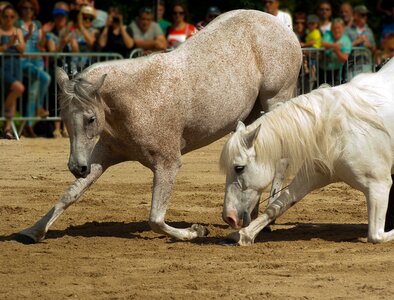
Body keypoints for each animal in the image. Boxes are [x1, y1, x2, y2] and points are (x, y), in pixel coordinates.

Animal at [13, 9, 300, 244]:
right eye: (63, 117)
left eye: (91, 119)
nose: (76, 167)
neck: (136, 100)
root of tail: (284, 28)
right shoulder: (102, 156)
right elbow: (69, 195)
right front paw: (32, 231)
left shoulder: (168, 163)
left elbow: (155, 218)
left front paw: (195, 231)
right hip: (251, 117)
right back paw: (250, 214)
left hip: (275, 100)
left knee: (281, 159)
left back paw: (267, 217)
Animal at [220, 58, 394, 244]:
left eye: (239, 168)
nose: (228, 217)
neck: (334, 130)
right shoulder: (314, 176)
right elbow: (278, 205)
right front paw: (243, 235)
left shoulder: (378, 186)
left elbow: (376, 236)